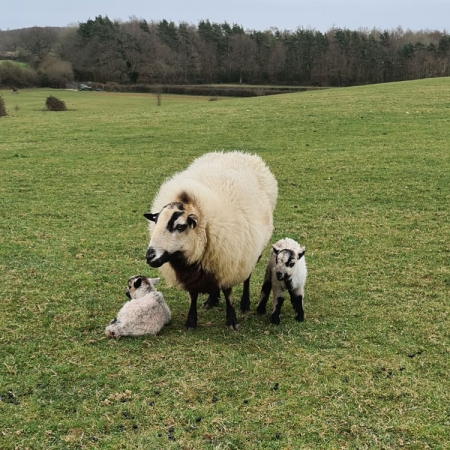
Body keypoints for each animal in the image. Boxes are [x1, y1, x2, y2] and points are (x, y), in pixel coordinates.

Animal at [144, 149, 278, 328]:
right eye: (156, 222)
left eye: (180, 226)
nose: (149, 256)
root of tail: (238, 153)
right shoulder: (196, 268)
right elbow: (193, 294)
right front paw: (191, 320)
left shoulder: (229, 264)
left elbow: (228, 293)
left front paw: (231, 320)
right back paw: (211, 300)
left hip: (249, 253)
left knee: (247, 277)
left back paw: (245, 303)